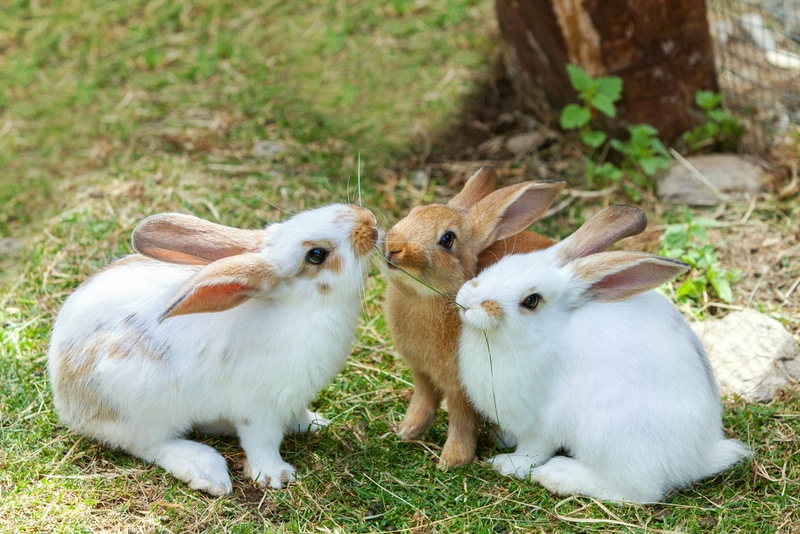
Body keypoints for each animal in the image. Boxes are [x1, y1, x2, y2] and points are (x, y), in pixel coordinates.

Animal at [48, 205, 380, 498]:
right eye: (317, 255)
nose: (369, 221)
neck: (303, 309)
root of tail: (64, 394)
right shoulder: (259, 408)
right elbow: (262, 442)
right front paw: (276, 476)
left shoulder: (292, 398)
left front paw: (312, 424)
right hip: (139, 400)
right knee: (147, 444)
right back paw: (206, 469)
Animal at [384, 169, 564, 468]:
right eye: (414, 212)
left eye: (447, 239)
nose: (394, 247)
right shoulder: (421, 372)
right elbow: (424, 400)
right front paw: (407, 431)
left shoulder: (463, 388)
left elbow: (461, 420)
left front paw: (451, 460)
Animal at [456, 206, 752, 506]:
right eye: (506, 262)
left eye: (531, 301)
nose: (468, 301)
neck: (548, 333)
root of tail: (702, 456)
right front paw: (502, 438)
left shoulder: (540, 422)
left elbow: (532, 451)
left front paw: (506, 464)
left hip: (610, 434)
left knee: (638, 491)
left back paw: (559, 475)